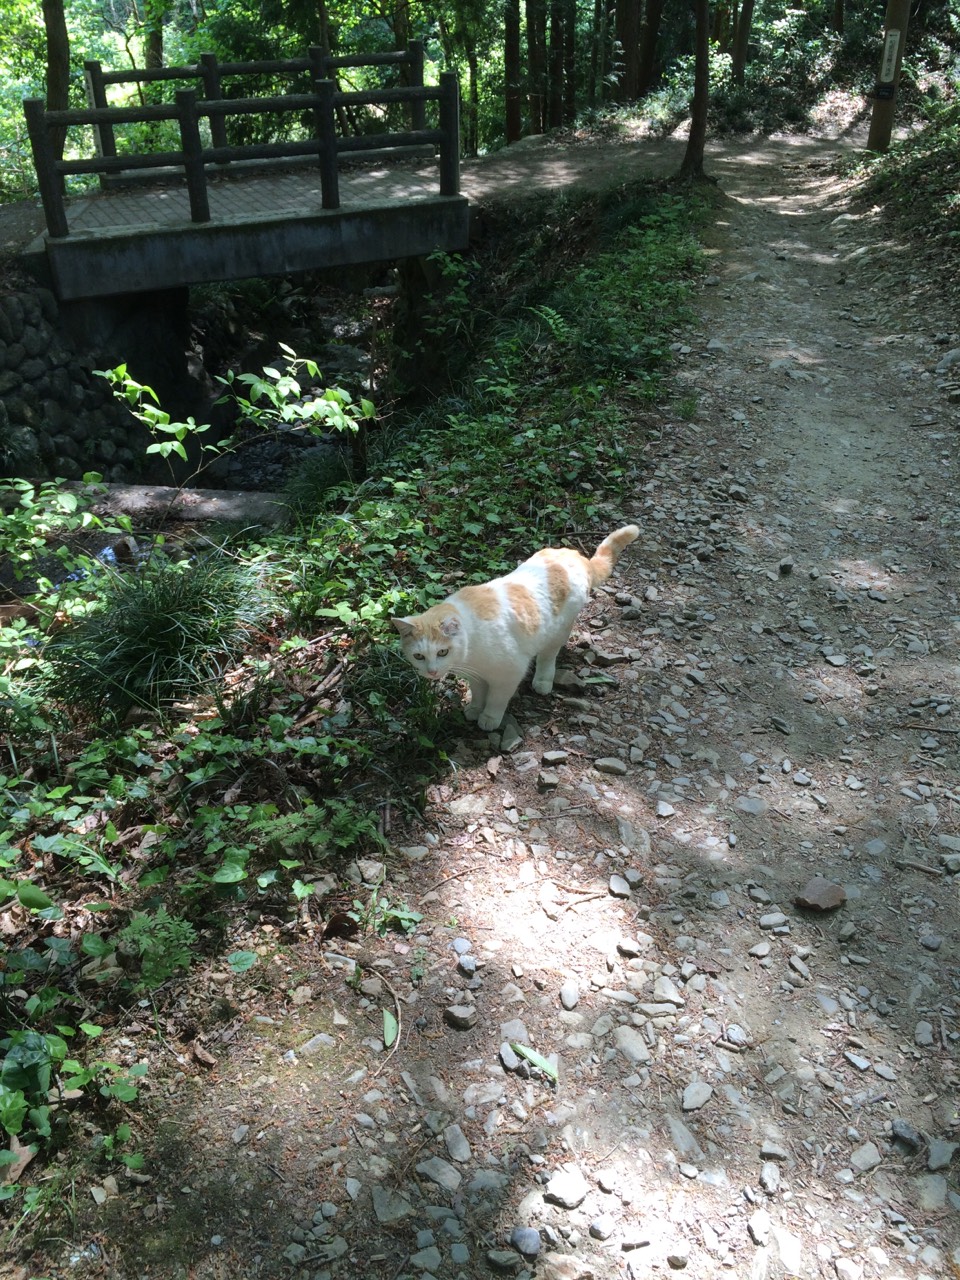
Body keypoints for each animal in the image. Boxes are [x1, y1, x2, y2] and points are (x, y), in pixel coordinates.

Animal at [391, 524, 640, 732]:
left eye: (443, 651)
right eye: (418, 656)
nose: (432, 672)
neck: (470, 653)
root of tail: (576, 555)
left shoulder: (510, 672)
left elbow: (496, 699)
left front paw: (489, 718)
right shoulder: (477, 675)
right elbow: (479, 693)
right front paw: (474, 709)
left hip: (557, 632)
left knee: (548, 657)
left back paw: (543, 681)